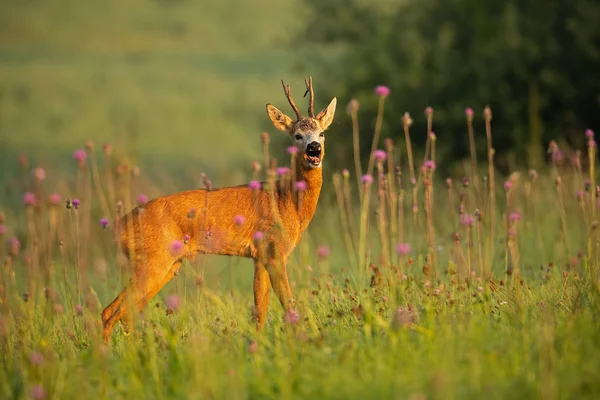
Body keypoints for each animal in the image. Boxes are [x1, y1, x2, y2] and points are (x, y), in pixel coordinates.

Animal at [103, 79, 338, 342]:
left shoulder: (259, 256)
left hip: (166, 265)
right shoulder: (274, 251)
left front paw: (256, 343)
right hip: (154, 260)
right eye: (297, 135)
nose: (314, 148)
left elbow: (260, 309)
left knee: (122, 313)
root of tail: (120, 225)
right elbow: (288, 304)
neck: (286, 200)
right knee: (112, 313)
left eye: (322, 133)